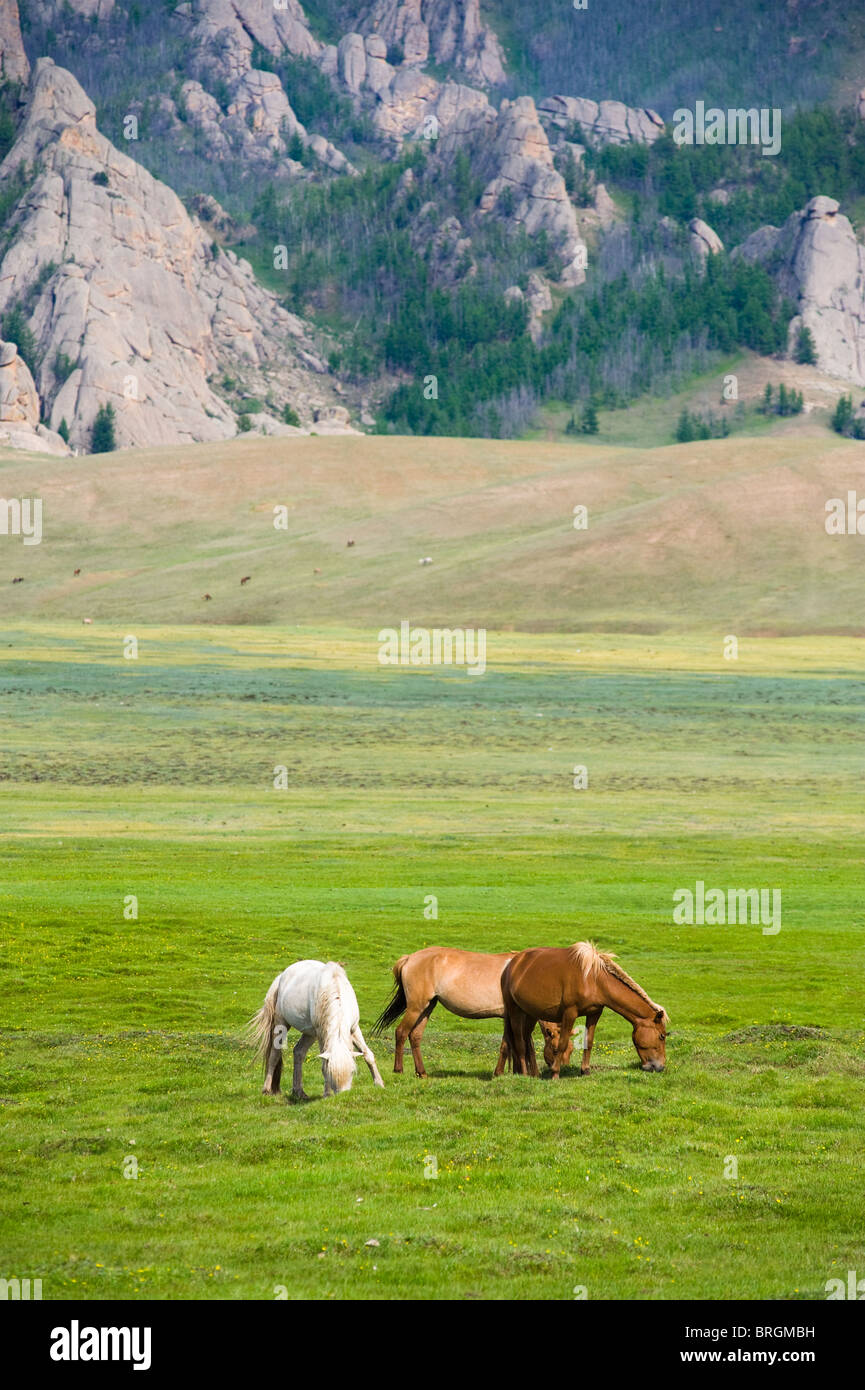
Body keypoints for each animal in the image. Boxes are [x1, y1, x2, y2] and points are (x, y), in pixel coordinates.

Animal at [249, 959, 385, 1099]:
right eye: (331, 1074)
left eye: (352, 1072)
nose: (342, 1096)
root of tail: (281, 977)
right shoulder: (321, 1034)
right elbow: (324, 1065)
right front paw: (327, 1094)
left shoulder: (353, 1028)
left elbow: (368, 1054)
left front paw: (379, 1084)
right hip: (282, 1024)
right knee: (274, 1055)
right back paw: (266, 1089)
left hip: (310, 1033)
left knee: (299, 1052)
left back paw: (298, 1092)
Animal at [371, 947, 574, 1077]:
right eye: (556, 1050)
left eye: (571, 1050)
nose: (561, 1068)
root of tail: (409, 958)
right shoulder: (515, 1016)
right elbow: (516, 1044)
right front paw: (507, 1073)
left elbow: (513, 1044)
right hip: (416, 1007)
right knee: (401, 1032)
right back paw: (398, 1070)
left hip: (427, 1007)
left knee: (415, 1036)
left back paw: (422, 1072)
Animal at [499, 941, 668, 1080]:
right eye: (662, 1036)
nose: (660, 1067)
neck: (594, 979)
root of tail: (511, 964)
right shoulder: (570, 1013)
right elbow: (562, 1043)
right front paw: (555, 1073)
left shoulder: (594, 1013)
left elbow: (589, 1041)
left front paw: (585, 1070)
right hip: (515, 1010)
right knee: (520, 1043)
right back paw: (524, 1074)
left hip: (530, 1014)